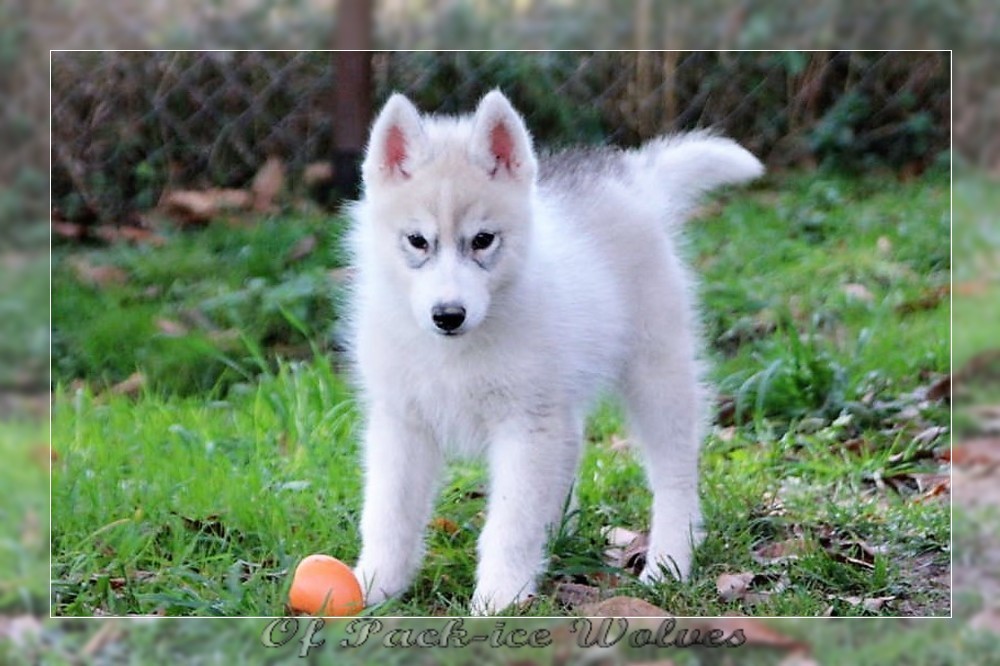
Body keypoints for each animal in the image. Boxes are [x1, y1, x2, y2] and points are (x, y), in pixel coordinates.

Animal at [347, 90, 763, 615]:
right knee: (572, 445)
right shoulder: (402, 421)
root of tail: (632, 177)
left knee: (674, 472)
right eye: (417, 241)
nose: (448, 315)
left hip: (656, 371)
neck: (455, 352)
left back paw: (669, 560)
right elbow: (388, 515)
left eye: (483, 240)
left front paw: (499, 599)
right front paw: (371, 587)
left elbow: (510, 522)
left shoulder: (525, 423)